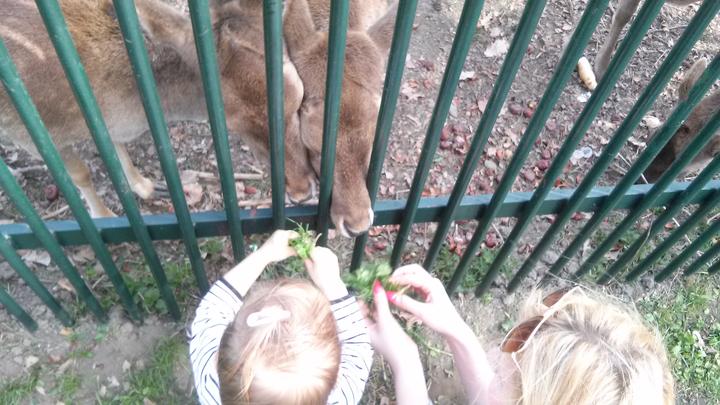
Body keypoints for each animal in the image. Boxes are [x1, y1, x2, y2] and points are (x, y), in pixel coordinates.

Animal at [0, 0, 316, 218]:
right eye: (233, 125)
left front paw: (146, 186)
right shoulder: (32, 134)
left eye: (297, 97)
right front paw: (106, 216)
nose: (300, 192)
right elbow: (80, 174)